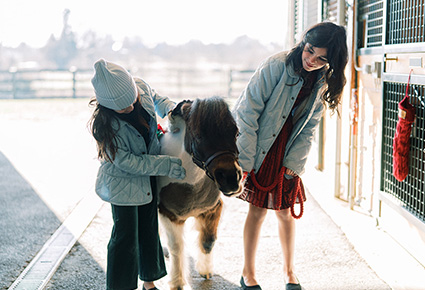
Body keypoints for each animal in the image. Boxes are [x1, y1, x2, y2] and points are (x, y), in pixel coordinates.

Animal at [157, 98, 243, 290]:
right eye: (198, 136)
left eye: (236, 133)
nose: (231, 180)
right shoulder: (168, 214)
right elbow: (177, 247)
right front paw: (177, 282)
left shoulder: (212, 209)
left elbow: (208, 240)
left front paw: (205, 270)